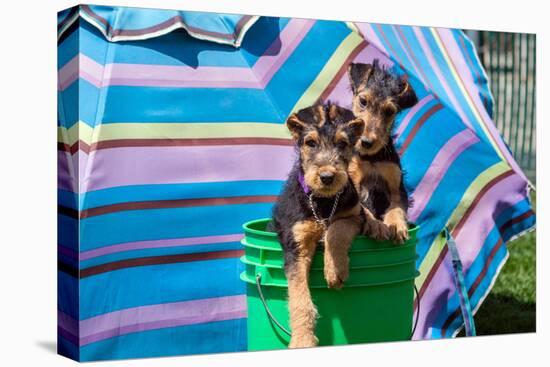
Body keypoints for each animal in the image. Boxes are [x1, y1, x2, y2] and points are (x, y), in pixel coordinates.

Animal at [272, 102, 366, 350]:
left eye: (342, 144)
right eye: (310, 143)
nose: (327, 177)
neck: (323, 201)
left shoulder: (354, 215)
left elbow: (335, 231)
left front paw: (334, 270)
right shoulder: (296, 245)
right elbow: (300, 298)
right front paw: (302, 341)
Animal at [348, 60, 420, 244]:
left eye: (389, 111)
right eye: (363, 101)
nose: (366, 142)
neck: (372, 157)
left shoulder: (396, 187)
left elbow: (396, 207)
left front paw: (396, 225)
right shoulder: (353, 183)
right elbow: (363, 208)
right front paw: (377, 225)